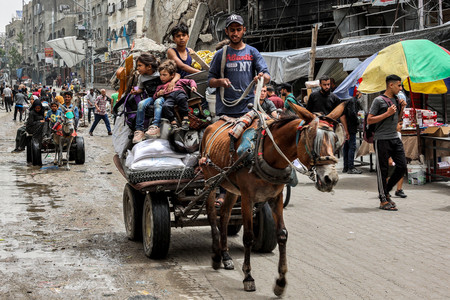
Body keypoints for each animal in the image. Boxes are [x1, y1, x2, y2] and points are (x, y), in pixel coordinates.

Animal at [200, 102, 344, 296]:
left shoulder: (276, 197)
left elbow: (282, 234)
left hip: (231, 188)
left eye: (335, 140)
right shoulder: (247, 198)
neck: (266, 153)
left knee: (224, 216)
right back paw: (216, 256)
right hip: (210, 182)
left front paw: (281, 282)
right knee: (211, 215)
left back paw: (226, 256)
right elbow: (248, 236)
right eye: (313, 138)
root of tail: (210, 126)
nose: (331, 179)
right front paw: (248, 277)